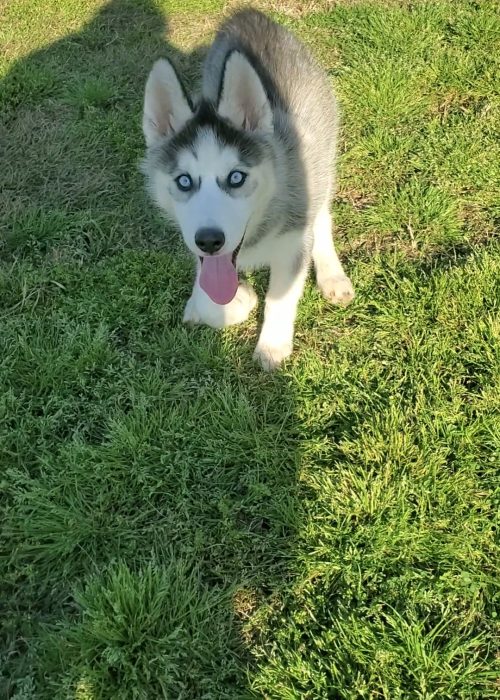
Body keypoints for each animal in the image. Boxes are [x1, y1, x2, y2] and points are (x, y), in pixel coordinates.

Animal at [141, 8, 354, 370]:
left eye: (236, 177)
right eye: (184, 181)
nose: (210, 240)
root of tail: (248, 15)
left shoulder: (294, 240)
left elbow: (279, 298)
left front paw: (272, 346)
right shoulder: (197, 247)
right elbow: (208, 296)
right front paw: (235, 300)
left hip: (320, 159)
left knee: (323, 216)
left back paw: (331, 274)